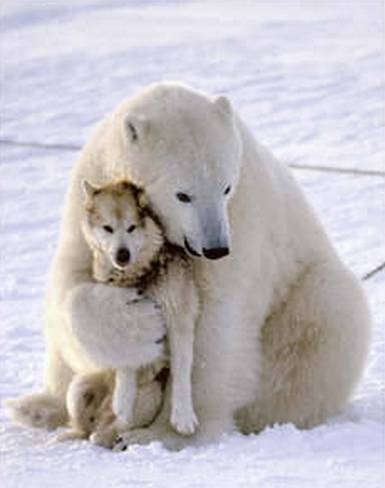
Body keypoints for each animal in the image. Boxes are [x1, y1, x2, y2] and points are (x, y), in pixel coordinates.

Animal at [76, 179, 201, 438]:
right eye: (108, 228)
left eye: (132, 227)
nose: (122, 254)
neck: (139, 277)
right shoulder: (126, 318)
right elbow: (127, 358)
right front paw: (123, 398)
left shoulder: (180, 315)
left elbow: (182, 368)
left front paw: (183, 416)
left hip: (151, 396)